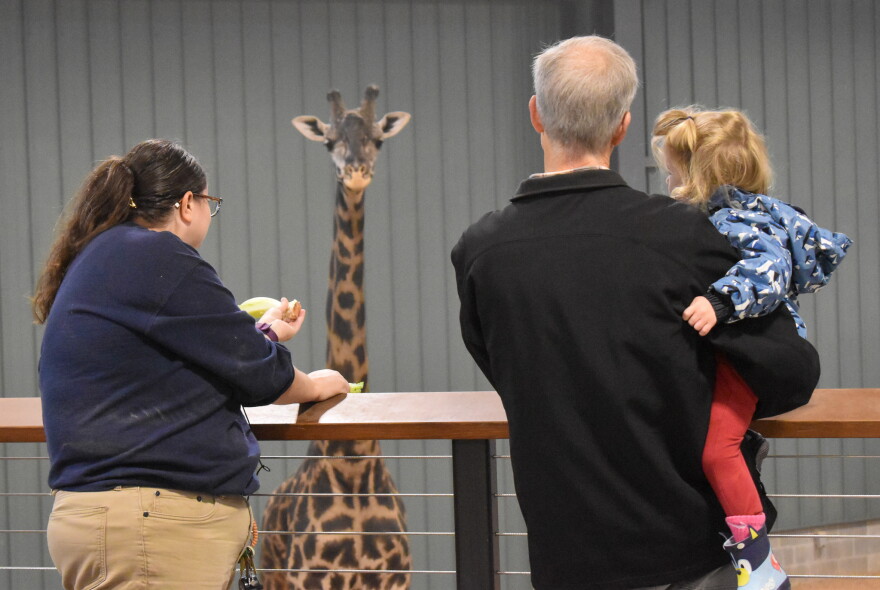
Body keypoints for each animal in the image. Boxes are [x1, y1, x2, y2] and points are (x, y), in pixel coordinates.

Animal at [260, 86, 412, 590]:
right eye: (330, 142)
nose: (356, 171)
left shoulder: (394, 577)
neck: (353, 459)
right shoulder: (311, 577)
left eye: (377, 139)